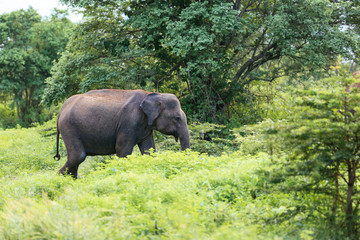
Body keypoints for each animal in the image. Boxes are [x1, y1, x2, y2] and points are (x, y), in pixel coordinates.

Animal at [54, 89, 191, 178]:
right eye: (177, 118)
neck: (151, 95)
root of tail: (61, 109)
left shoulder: (145, 128)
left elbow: (149, 151)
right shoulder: (129, 123)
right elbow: (123, 151)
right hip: (69, 127)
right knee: (78, 156)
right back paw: (57, 179)